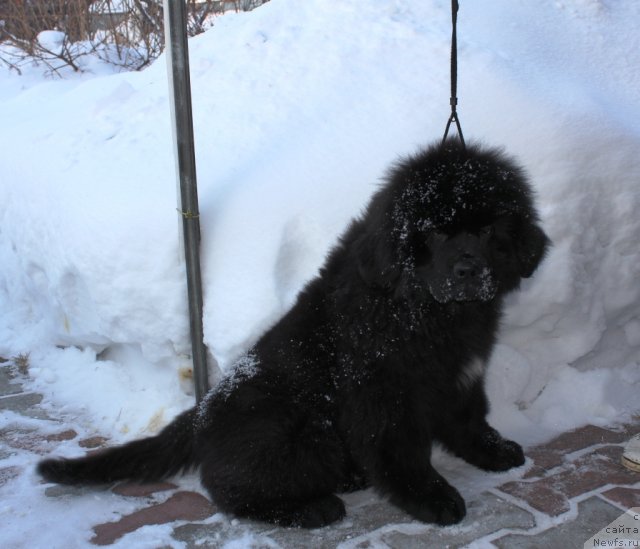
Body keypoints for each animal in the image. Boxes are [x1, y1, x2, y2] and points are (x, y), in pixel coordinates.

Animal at [38, 140, 552, 528]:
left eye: (487, 230)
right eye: (437, 233)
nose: (469, 271)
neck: (424, 309)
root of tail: (200, 413)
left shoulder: (462, 373)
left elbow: (469, 420)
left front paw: (493, 451)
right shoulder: (383, 393)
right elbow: (402, 452)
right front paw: (433, 498)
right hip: (299, 429)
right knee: (228, 490)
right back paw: (313, 508)